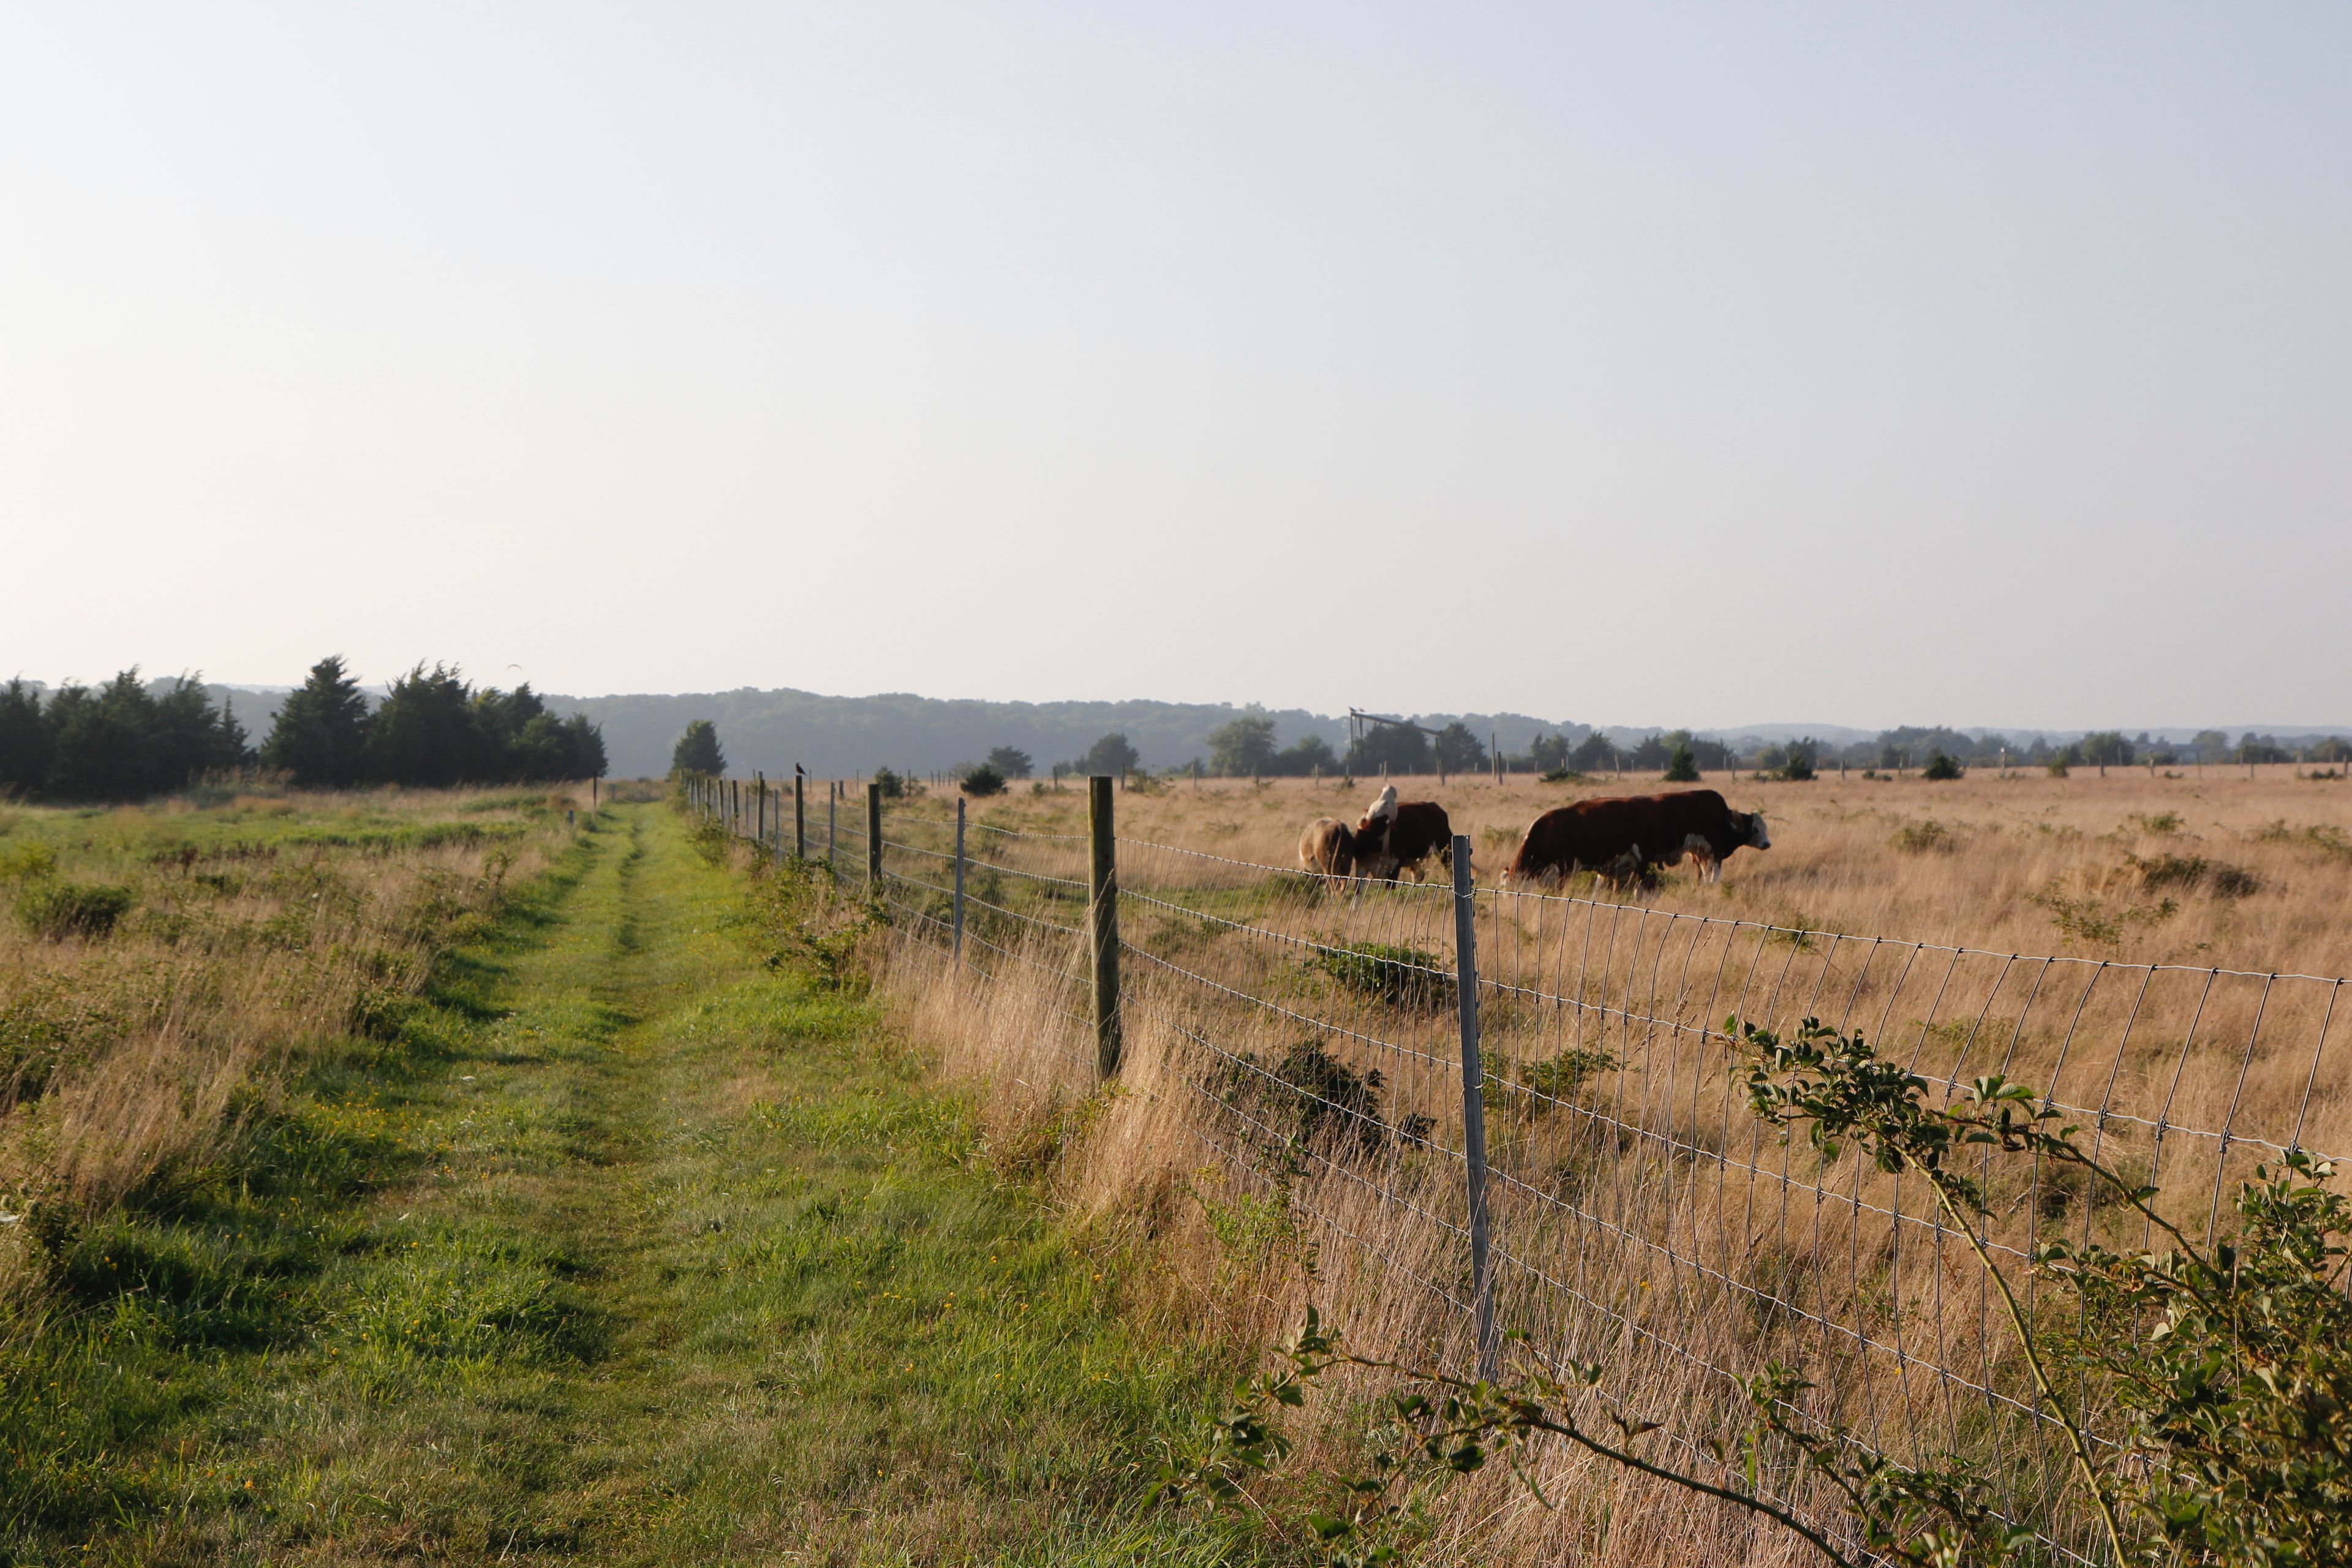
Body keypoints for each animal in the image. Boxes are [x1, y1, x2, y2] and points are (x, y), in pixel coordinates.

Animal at [1354, 785, 1458, 884]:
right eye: (1386, 803)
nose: (1390, 788)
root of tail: (1433, 806)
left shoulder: (1395, 866)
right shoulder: (1361, 867)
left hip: (1445, 851)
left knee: (1450, 872)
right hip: (1417, 860)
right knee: (1418, 876)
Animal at [1505, 790, 1768, 888]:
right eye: (1756, 829)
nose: (1767, 843)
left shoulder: (1566, 867)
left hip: (1707, 852)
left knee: (1712, 873)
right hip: (1701, 853)